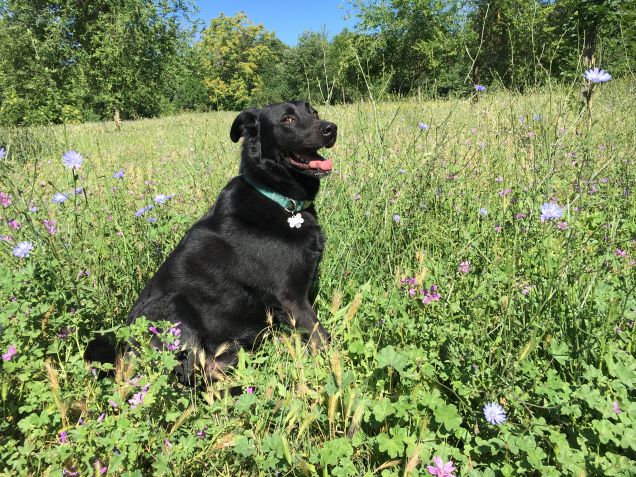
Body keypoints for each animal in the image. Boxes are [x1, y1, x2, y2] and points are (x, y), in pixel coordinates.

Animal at [88, 100, 338, 384]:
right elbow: (322, 338)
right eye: (287, 120)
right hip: (174, 314)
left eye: (313, 112)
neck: (281, 201)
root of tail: (124, 354)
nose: (331, 128)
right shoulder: (291, 298)